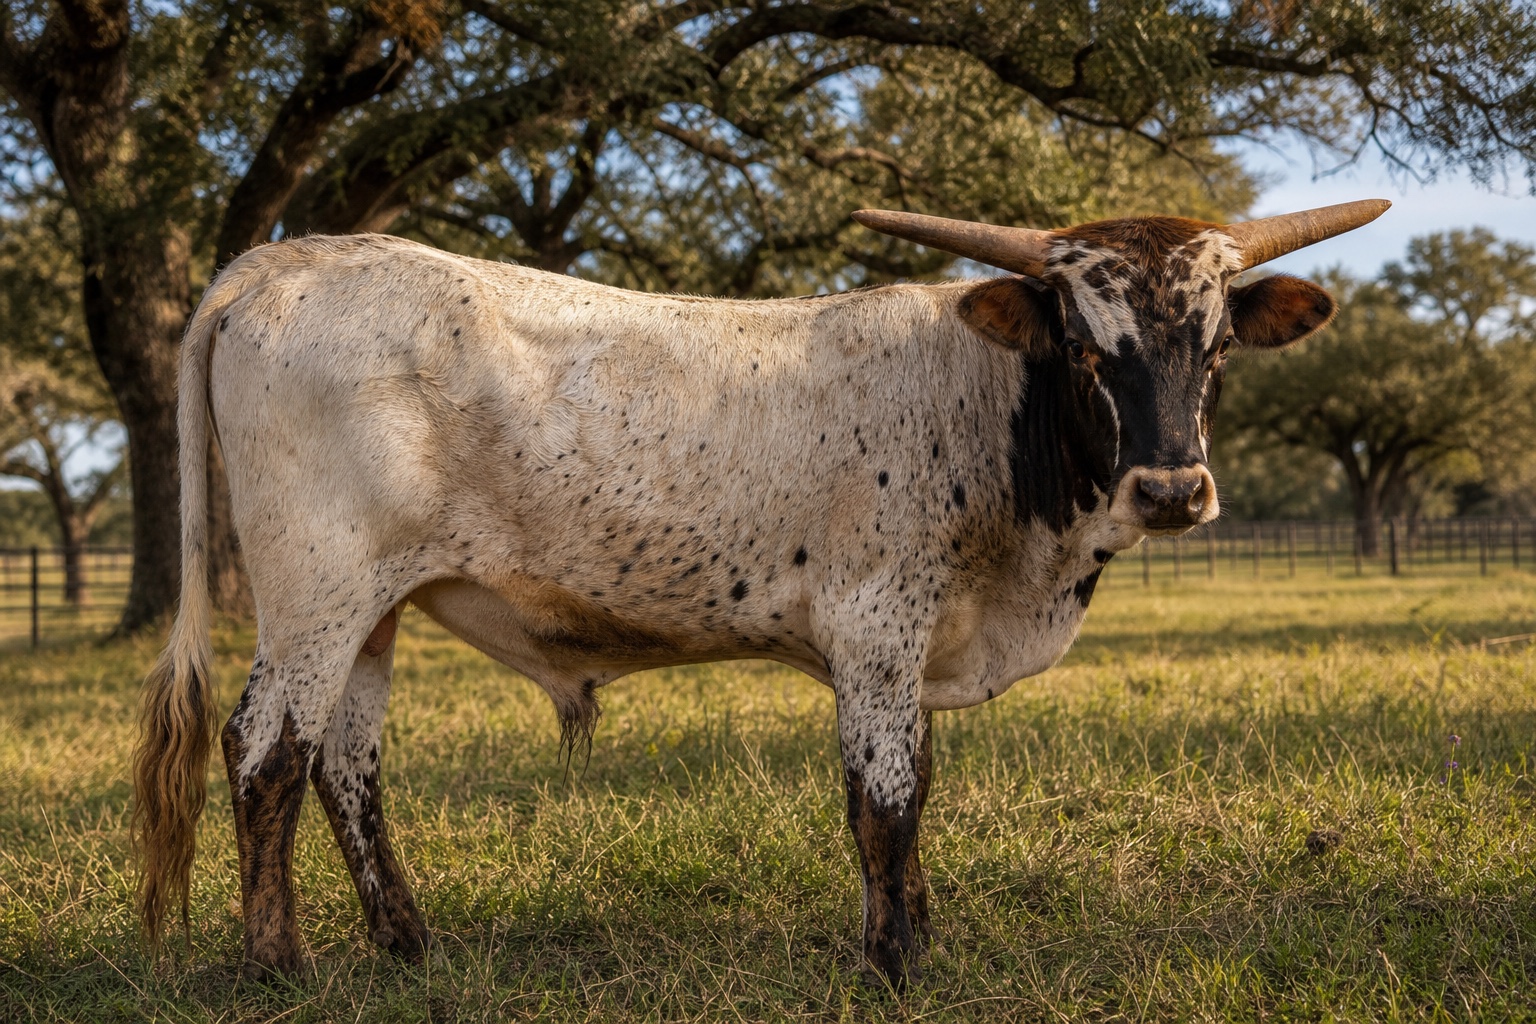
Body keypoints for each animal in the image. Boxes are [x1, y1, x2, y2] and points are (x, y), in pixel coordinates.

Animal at [132, 198, 1388, 987]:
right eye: (1087, 344)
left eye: (1215, 344)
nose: (1172, 488)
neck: (985, 404)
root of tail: (285, 262)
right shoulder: (878, 628)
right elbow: (884, 798)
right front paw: (893, 961)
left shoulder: (917, 644)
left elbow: (918, 786)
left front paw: (919, 931)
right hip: (317, 593)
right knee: (265, 752)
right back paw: (278, 964)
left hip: (374, 608)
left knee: (345, 762)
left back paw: (404, 942)